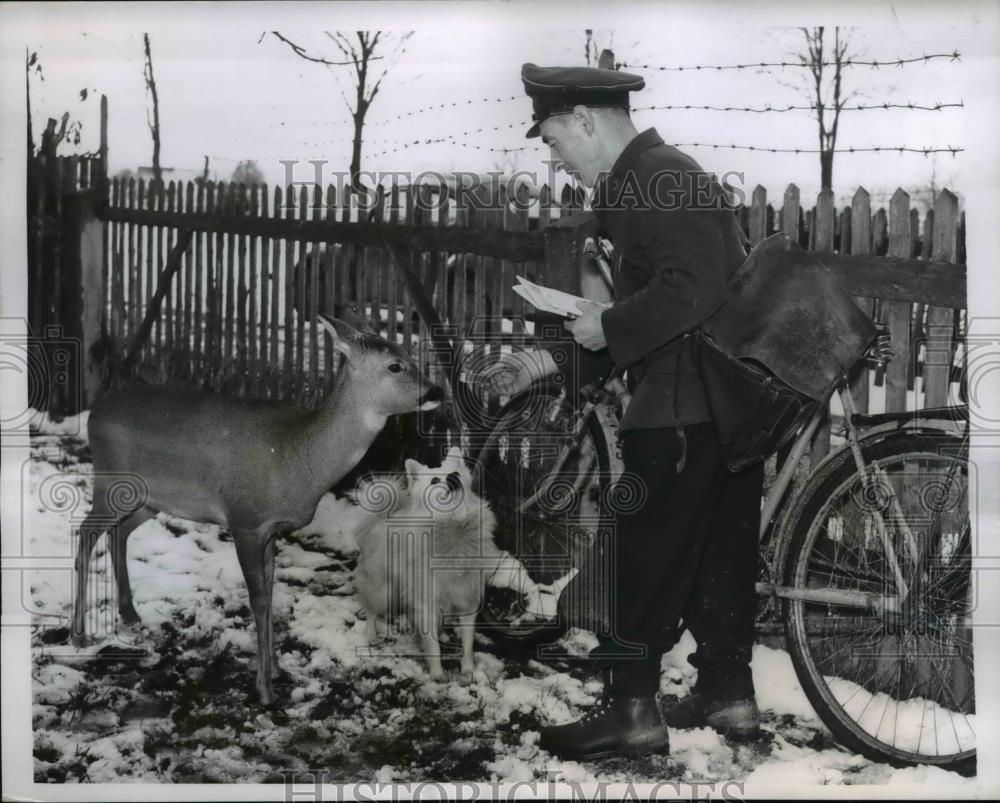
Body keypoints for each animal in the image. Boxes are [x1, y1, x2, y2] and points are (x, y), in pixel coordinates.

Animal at [70, 314, 442, 704]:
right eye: (395, 365)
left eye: (412, 356)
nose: (436, 392)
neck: (297, 457)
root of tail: (94, 413)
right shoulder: (245, 520)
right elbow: (259, 598)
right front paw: (264, 687)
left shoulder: (272, 530)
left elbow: (271, 591)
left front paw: (276, 669)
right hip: (110, 482)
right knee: (86, 531)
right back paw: (78, 633)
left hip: (150, 498)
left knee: (119, 533)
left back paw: (130, 614)